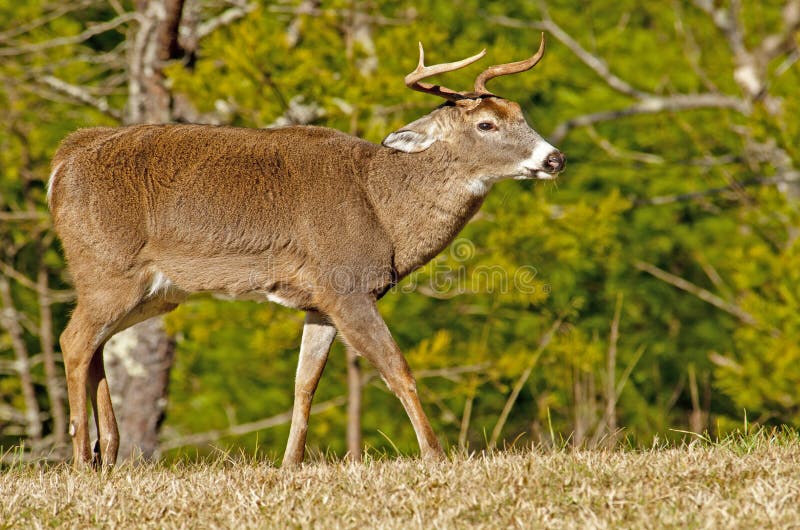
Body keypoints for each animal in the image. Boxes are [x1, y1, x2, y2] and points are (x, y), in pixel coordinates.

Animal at [48, 35, 564, 466]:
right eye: (486, 123)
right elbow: (399, 371)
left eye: (522, 113)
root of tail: (63, 161)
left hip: (155, 290)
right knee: (73, 341)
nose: (554, 158)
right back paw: (81, 458)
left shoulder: (319, 302)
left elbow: (304, 385)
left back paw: (108, 452)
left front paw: (290, 464)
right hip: (108, 269)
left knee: (94, 344)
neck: (383, 209)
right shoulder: (347, 286)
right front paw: (437, 456)